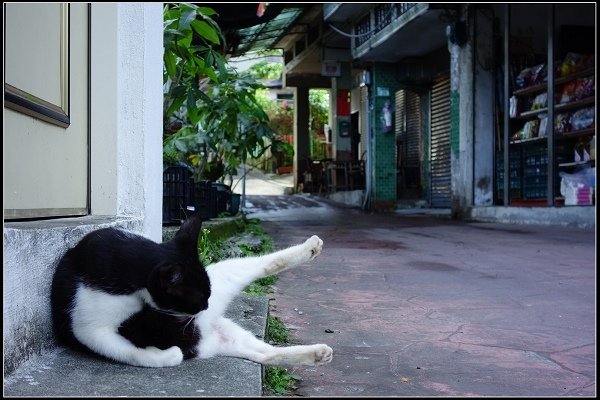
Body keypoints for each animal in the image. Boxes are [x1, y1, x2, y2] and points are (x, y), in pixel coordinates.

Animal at [50, 214, 332, 368]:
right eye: (198, 299)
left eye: (205, 296)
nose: (204, 307)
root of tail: (207, 332)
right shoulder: (85, 326)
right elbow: (122, 349)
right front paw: (167, 356)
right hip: (222, 332)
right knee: (267, 354)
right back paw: (316, 353)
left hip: (222, 283)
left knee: (259, 265)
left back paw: (309, 248)